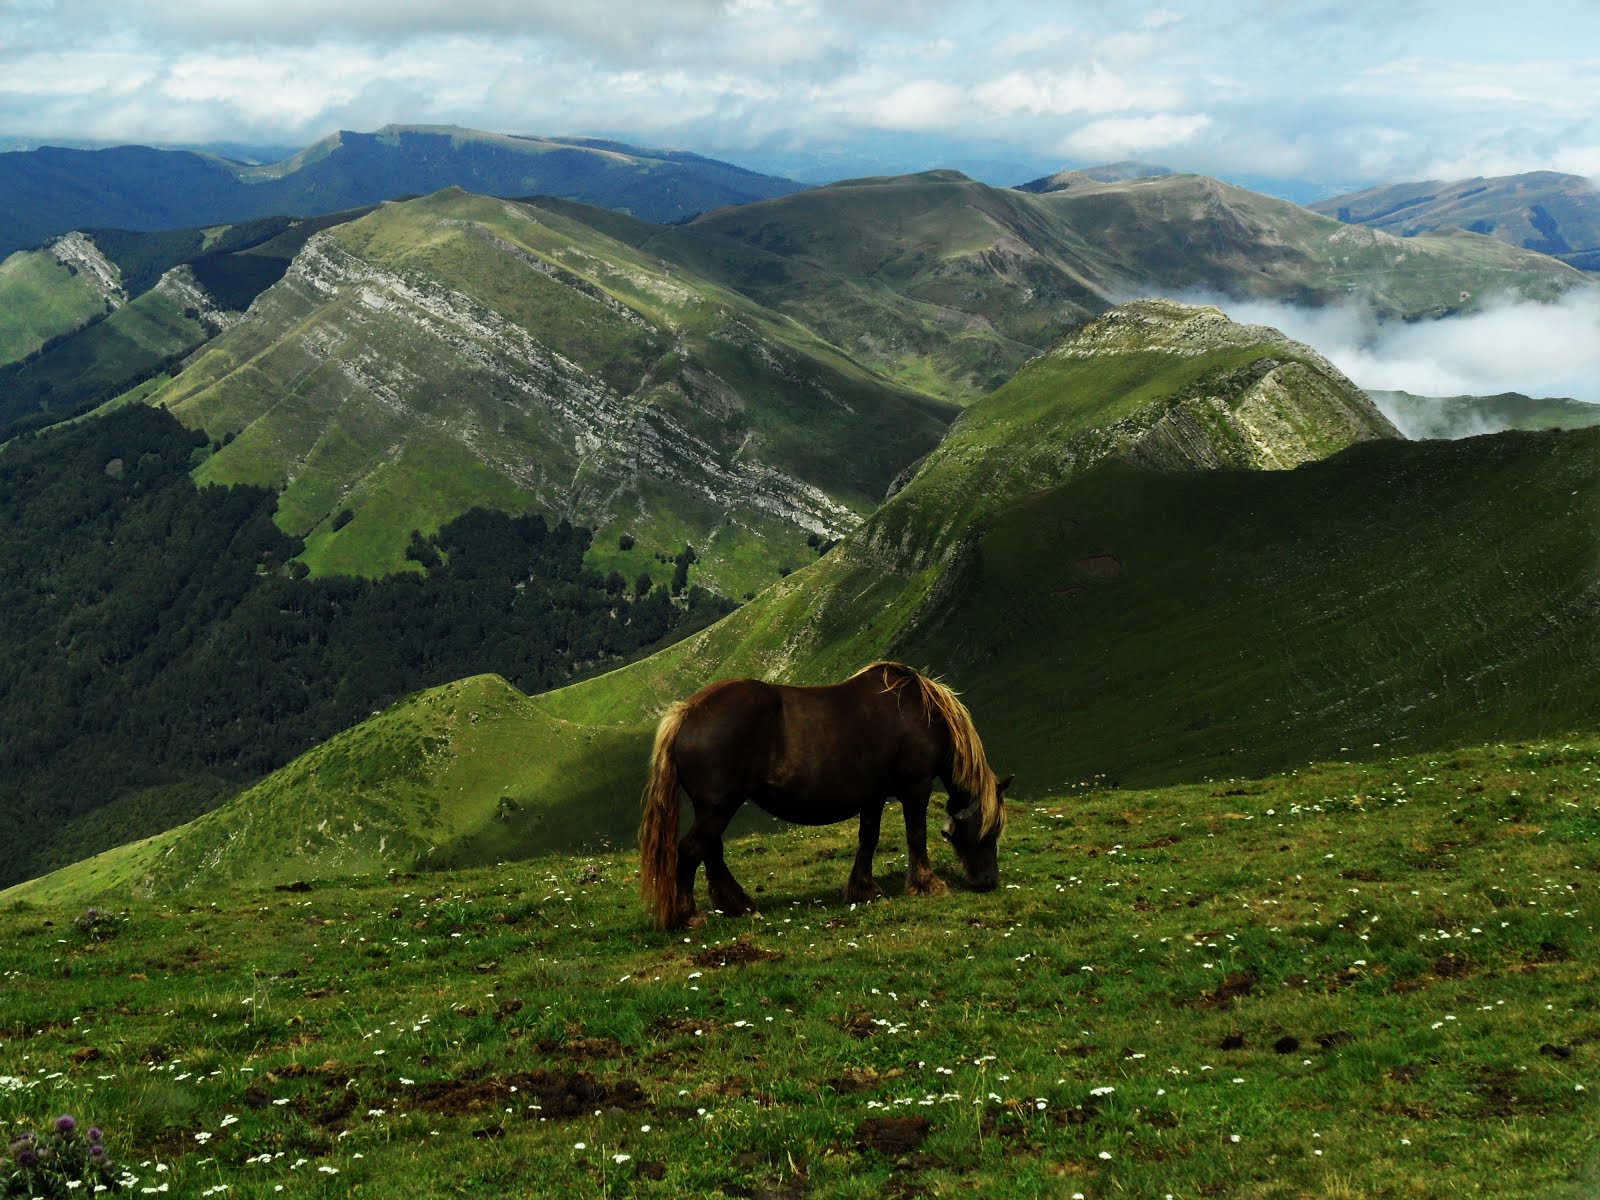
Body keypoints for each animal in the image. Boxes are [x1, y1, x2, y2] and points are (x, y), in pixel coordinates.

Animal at [640, 668, 1004, 928]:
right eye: (989, 831)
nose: (989, 881)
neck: (920, 712)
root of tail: (687, 713)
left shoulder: (873, 796)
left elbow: (868, 838)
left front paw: (864, 889)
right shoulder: (916, 787)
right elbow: (916, 835)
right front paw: (928, 884)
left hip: (715, 807)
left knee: (711, 851)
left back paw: (740, 906)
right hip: (719, 805)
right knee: (692, 849)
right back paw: (691, 915)